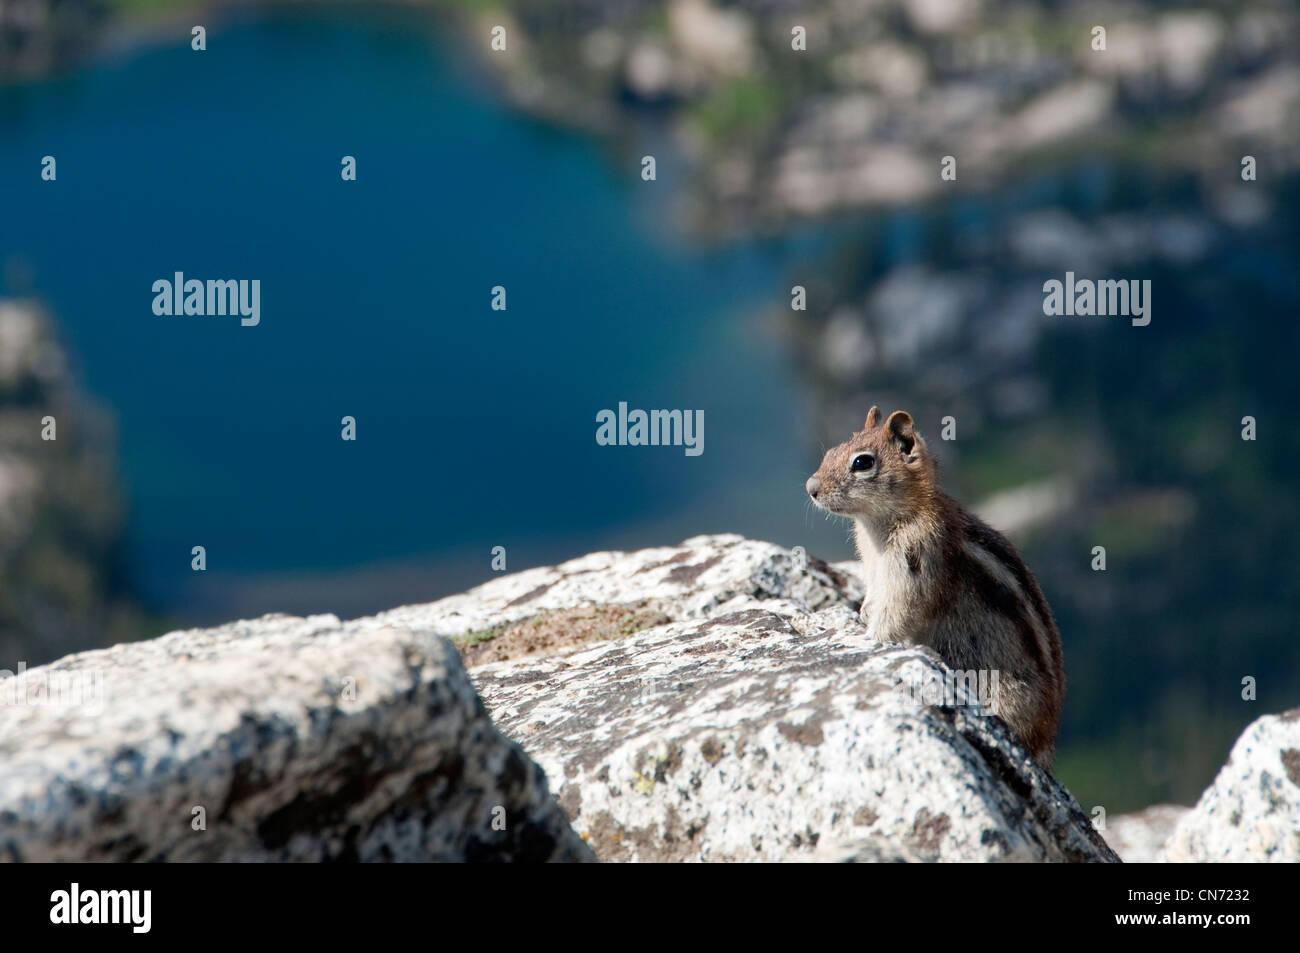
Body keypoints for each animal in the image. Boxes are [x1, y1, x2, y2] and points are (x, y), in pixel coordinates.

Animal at [806, 403, 1071, 764]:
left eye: (862, 462)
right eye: (831, 451)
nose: (811, 488)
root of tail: (1046, 743)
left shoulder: (912, 567)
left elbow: (896, 615)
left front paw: (866, 639)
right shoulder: (875, 572)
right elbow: (874, 598)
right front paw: (860, 614)